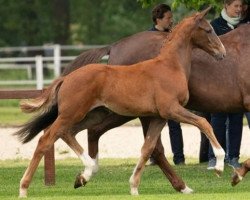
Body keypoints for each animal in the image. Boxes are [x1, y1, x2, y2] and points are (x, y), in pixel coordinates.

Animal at [16, 7, 227, 197]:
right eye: (208, 30)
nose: (222, 53)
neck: (171, 66)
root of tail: (66, 78)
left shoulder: (159, 117)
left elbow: (147, 149)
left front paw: (134, 187)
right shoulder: (171, 110)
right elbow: (204, 123)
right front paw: (219, 165)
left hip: (93, 114)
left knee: (68, 133)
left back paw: (85, 174)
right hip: (72, 113)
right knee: (46, 139)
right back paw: (24, 188)